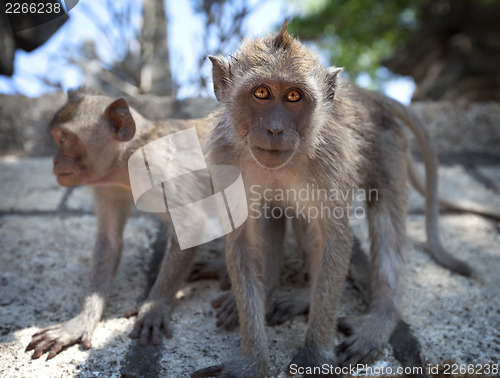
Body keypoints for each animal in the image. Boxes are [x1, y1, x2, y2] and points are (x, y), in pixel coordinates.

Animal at [24, 90, 213, 358]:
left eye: (64, 138)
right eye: (56, 138)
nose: (54, 161)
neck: (127, 158)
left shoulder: (156, 166)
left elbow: (191, 223)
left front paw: (154, 306)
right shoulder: (107, 185)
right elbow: (109, 241)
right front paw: (80, 321)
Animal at [190, 23, 500, 376]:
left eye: (293, 96)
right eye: (261, 93)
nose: (275, 129)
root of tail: (369, 97)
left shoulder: (331, 160)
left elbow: (335, 238)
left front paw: (314, 355)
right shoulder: (224, 156)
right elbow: (244, 241)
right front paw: (253, 359)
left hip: (390, 147)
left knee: (385, 217)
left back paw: (377, 318)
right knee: (277, 212)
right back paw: (273, 289)